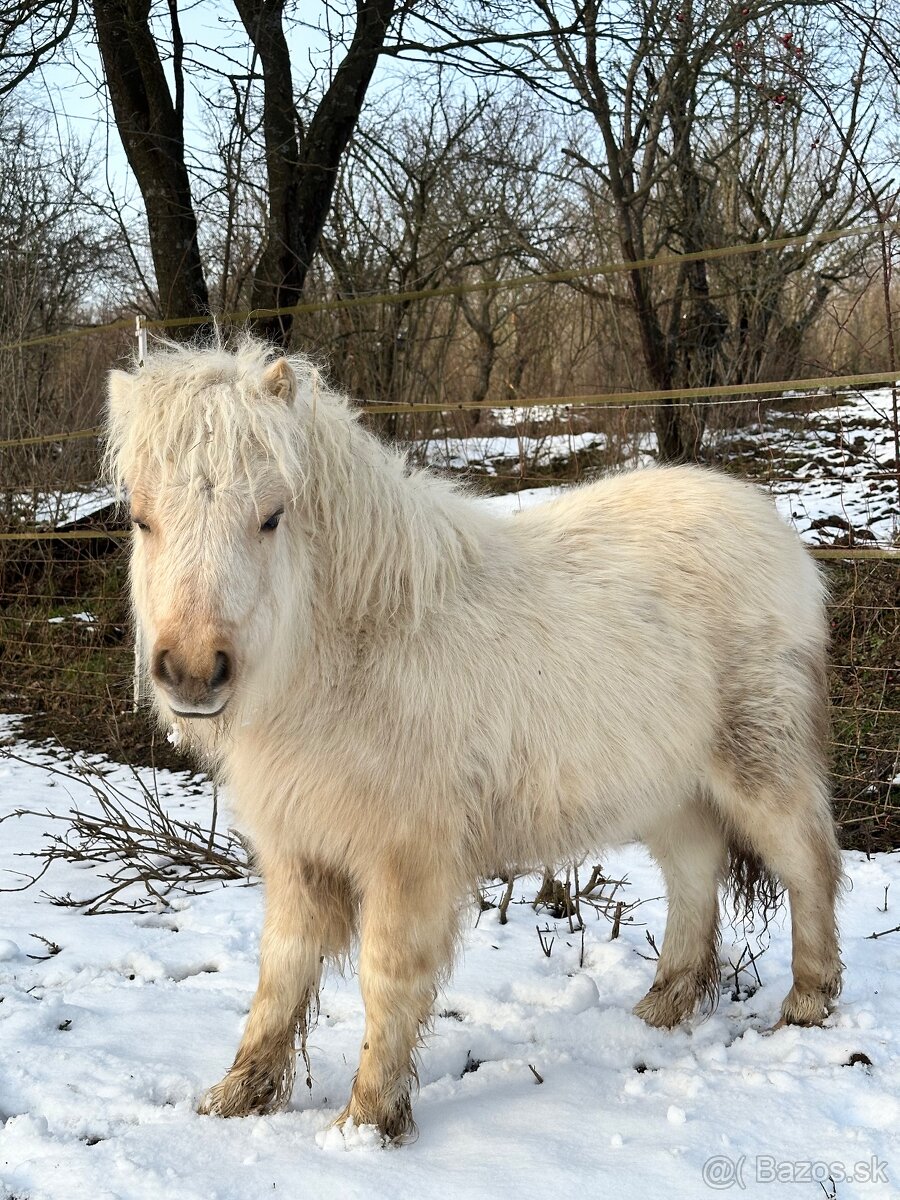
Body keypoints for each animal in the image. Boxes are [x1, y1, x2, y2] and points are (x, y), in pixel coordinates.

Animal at [104, 336, 842, 1142]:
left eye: (271, 517)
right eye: (141, 520)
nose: (193, 672)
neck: (353, 651)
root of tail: (771, 527)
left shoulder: (407, 856)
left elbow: (387, 978)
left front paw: (366, 1123)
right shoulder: (299, 848)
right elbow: (281, 973)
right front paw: (237, 1097)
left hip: (758, 761)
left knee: (807, 864)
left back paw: (808, 1004)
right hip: (668, 788)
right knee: (694, 875)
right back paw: (662, 1007)